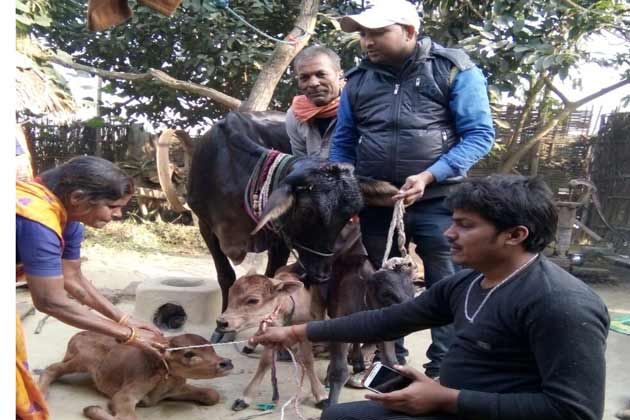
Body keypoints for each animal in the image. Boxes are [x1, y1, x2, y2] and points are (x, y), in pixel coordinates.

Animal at [39, 332, 235, 420]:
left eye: (212, 347)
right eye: (189, 354)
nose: (226, 362)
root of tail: (76, 335)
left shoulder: (176, 388)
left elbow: (212, 395)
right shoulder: (125, 394)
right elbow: (128, 417)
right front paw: (92, 409)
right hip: (82, 359)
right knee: (52, 368)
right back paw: (40, 394)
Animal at [217, 270, 328, 410]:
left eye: (253, 300)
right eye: (230, 293)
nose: (221, 322)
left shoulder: (305, 330)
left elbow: (308, 360)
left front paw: (321, 395)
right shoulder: (270, 331)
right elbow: (265, 361)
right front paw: (245, 398)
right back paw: (250, 345)